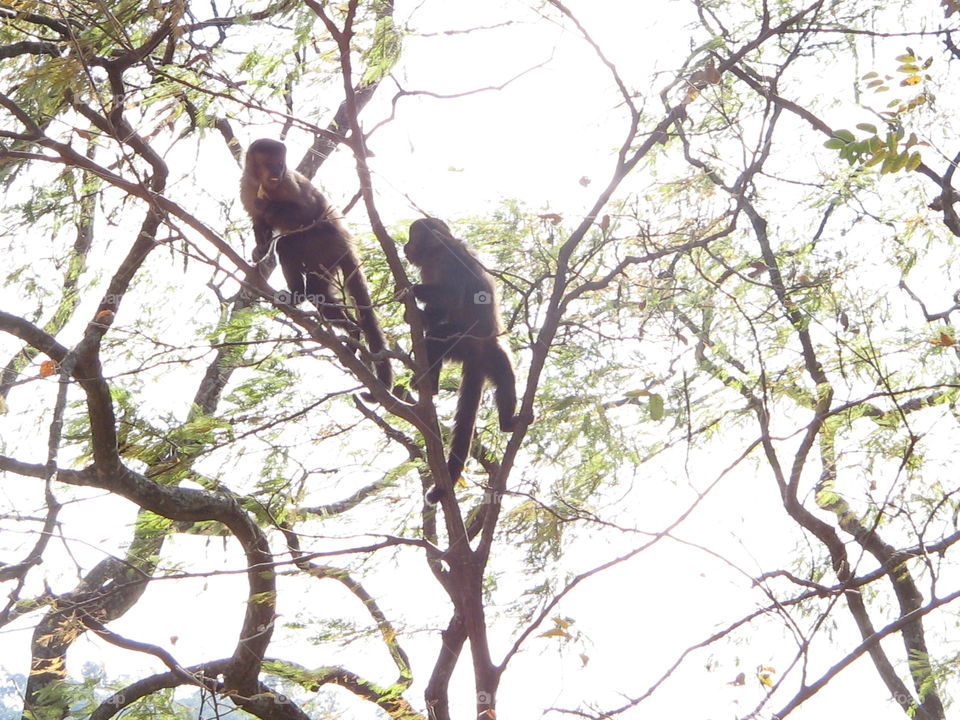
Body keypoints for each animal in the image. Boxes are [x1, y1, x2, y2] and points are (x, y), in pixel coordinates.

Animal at [240, 138, 393, 393]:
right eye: (270, 163)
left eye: (281, 163)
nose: (278, 171)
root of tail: (346, 242)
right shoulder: (246, 187)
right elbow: (259, 223)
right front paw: (259, 250)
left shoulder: (288, 185)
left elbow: (307, 211)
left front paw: (269, 208)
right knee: (319, 293)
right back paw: (349, 329)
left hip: (326, 245)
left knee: (291, 245)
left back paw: (301, 297)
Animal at [404, 218, 521, 502]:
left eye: (412, 238)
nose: (404, 246)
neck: (434, 253)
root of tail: (476, 356)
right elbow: (439, 311)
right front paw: (415, 314)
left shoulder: (449, 258)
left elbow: (452, 295)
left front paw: (412, 290)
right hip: (463, 349)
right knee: (435, 343)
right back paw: (430, 384)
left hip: (490, 350)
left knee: (504, 378)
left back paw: (507, 423)